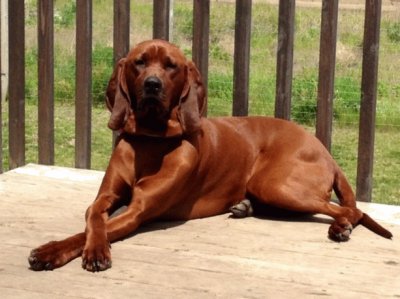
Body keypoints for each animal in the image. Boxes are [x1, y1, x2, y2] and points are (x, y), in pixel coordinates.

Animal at [28, 40, 394, 274]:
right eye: (139, 62)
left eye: (171, 66)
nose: (152, 85)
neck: (151, 140)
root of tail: (327, 153)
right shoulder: (105, 197)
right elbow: (93, 218)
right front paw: (67, 248)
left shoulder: (139, 211)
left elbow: (91, 231)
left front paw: (65, 251)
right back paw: (246, 207)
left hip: (275, 183)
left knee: (350, 210)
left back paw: (341, 227)